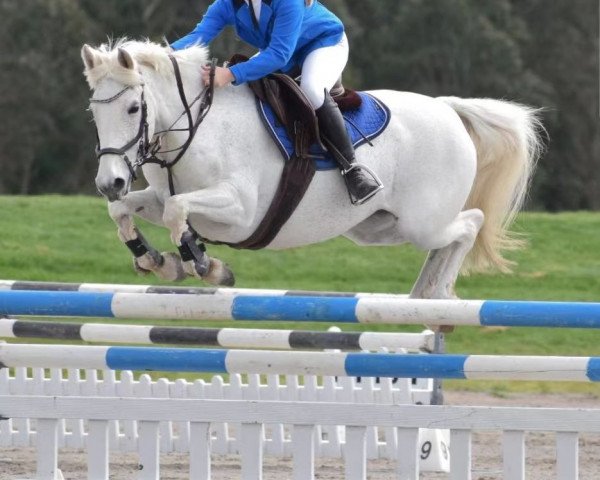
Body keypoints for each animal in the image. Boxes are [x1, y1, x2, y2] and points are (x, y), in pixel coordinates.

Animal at [81, 39, 544, 298]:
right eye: (93, 112)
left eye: (134, 107)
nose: (110, 181)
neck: (197, 127)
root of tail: (448, 109)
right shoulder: (159, 198)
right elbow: (126, 211)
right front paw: (156, 261)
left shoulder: (240, 211)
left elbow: (180, 212)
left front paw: (206, 266)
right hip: (376, 227)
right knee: (449, 235)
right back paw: (425, 296)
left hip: (423, 222)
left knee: (470, 223)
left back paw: (439, 293)